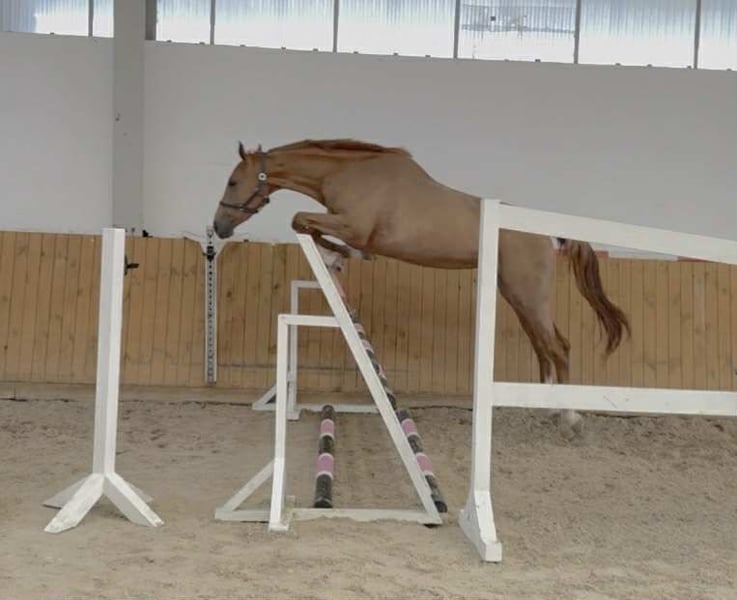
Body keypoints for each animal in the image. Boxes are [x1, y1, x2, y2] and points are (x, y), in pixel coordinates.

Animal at [212, 139, 630, 438]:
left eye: (232, 181)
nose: (219, 227)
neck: (349, 174)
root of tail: (547, 233)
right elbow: (307, 225)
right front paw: (339, 257)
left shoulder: (353, 225)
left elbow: (302, 221)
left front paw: (341, 255)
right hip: (515, 294)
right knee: (544, 347)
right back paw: (548, 407)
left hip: (528, 294)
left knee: (559, 347)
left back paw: (570, 418)